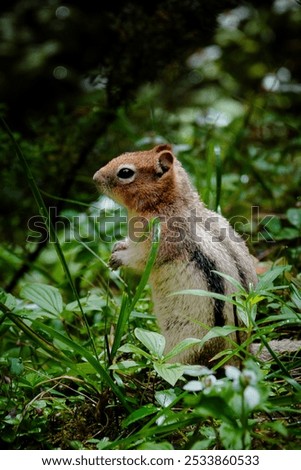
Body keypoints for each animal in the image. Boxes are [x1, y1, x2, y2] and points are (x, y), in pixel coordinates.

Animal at [94, 145, 298, 366]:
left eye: (125, 172)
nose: (95, 177)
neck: (168, 203)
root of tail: (245, 352)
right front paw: (118, 245)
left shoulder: (162, 241)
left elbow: (141, 259)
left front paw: (118, 259)